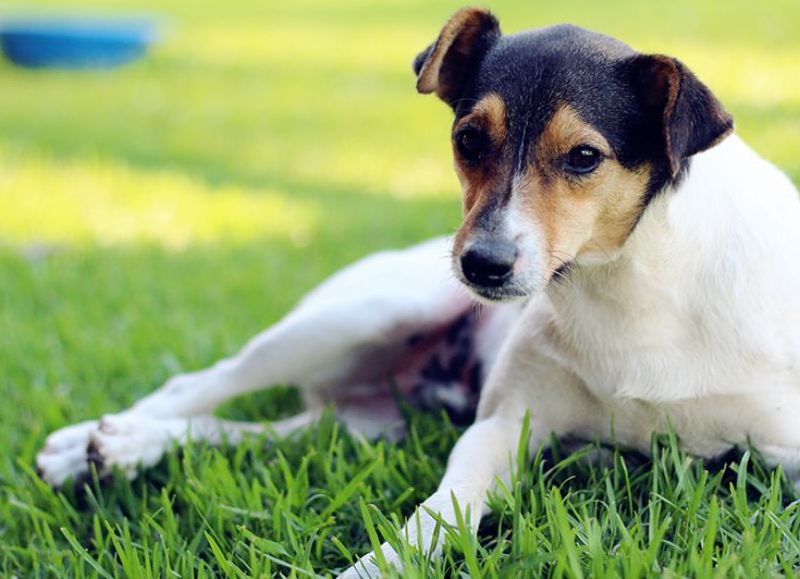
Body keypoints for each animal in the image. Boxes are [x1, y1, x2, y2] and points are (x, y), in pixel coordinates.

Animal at [36, 6, 800, 576]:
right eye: (469, 138)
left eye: (585, 156)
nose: (483, 265)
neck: (633, 287)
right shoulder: (501, 427)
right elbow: (436, 516)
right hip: (369, 314)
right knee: (201, 383)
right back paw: (91, 443)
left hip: (371, 420)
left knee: (257, 430)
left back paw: (121, 449)